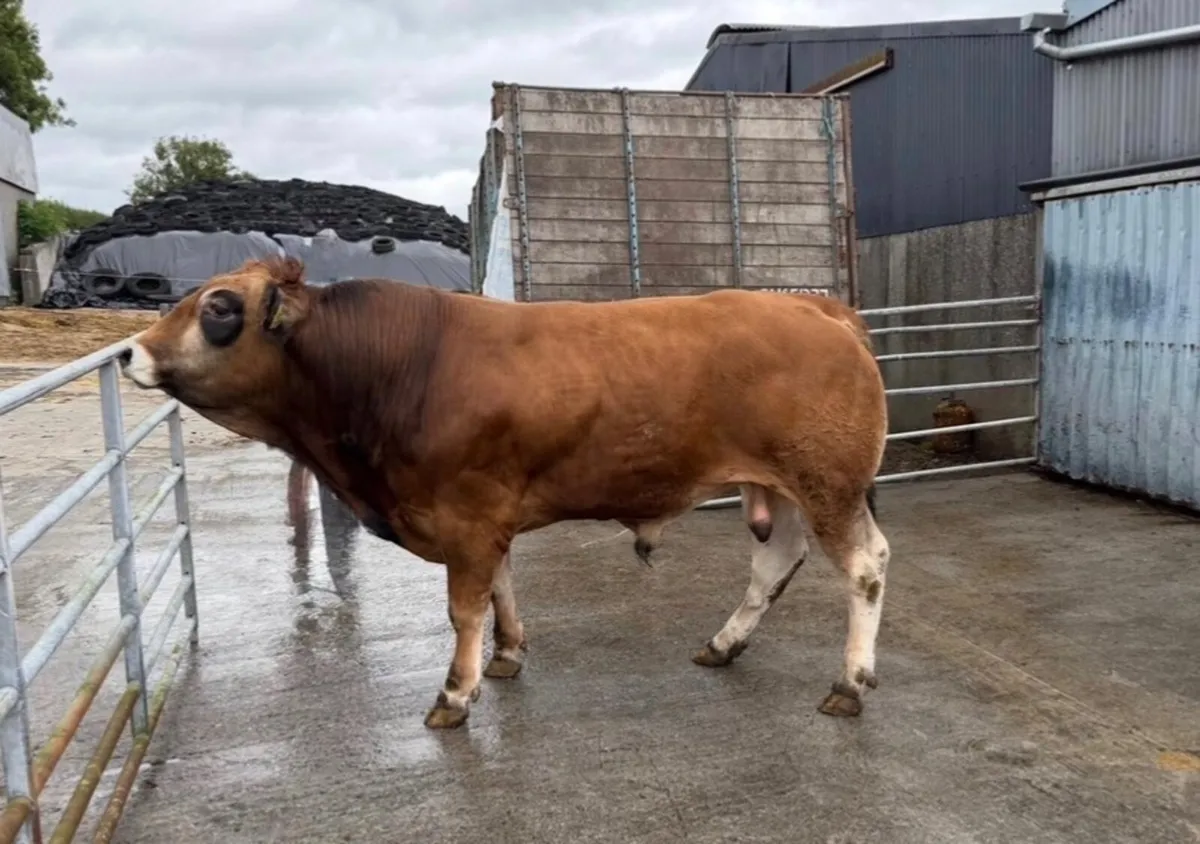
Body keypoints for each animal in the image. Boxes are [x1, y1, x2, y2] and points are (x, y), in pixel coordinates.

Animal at [119, 256, 891, 730]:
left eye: (219, 307)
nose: (130, 352)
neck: (395, 366)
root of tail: (823, 310)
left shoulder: (465, 516)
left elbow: (464, 608)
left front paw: (454, 694)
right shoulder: (486, 517)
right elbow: (499, 590)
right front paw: (507, 656)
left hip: (829, 485)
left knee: (865, 569)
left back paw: (849, 683)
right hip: (783, 486)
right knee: (775, 562)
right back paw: (724, 643)